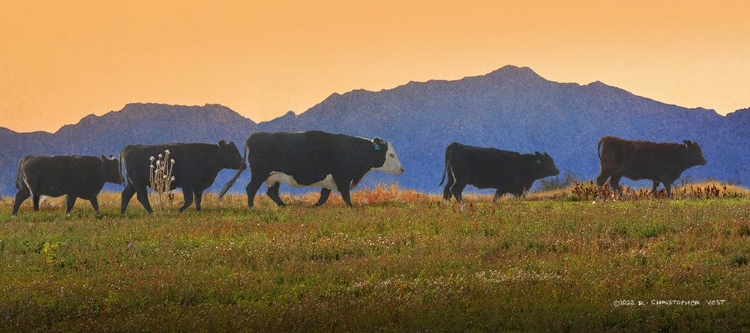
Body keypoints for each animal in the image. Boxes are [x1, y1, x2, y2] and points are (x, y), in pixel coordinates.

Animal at [219, 130, 406, 206]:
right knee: (251, 189)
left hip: (275, 176)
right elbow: (346, 197)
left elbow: (323, 197)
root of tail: (255, 135)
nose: (402, 169)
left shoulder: (329, 181)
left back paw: (285, 206)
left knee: (272, 193)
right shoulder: (342, 177)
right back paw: (251, 207)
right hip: (259, 172)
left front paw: (314, 206)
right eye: (391, 155)